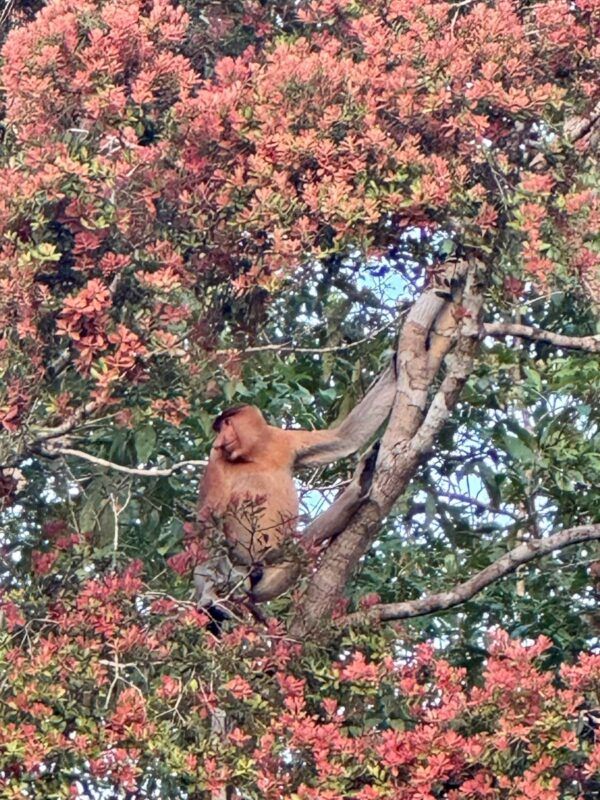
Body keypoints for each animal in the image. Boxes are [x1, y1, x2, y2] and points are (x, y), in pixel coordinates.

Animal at [194, 362, 397, 610]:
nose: (219, 440)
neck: (255, 454)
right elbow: (207, 516)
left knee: (307, 540)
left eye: (227, 423)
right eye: (220, 428)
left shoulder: (284, 439)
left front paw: (395, 365)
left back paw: (361, 483)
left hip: (283, 558)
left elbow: (343, 438)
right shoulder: (216, 461)